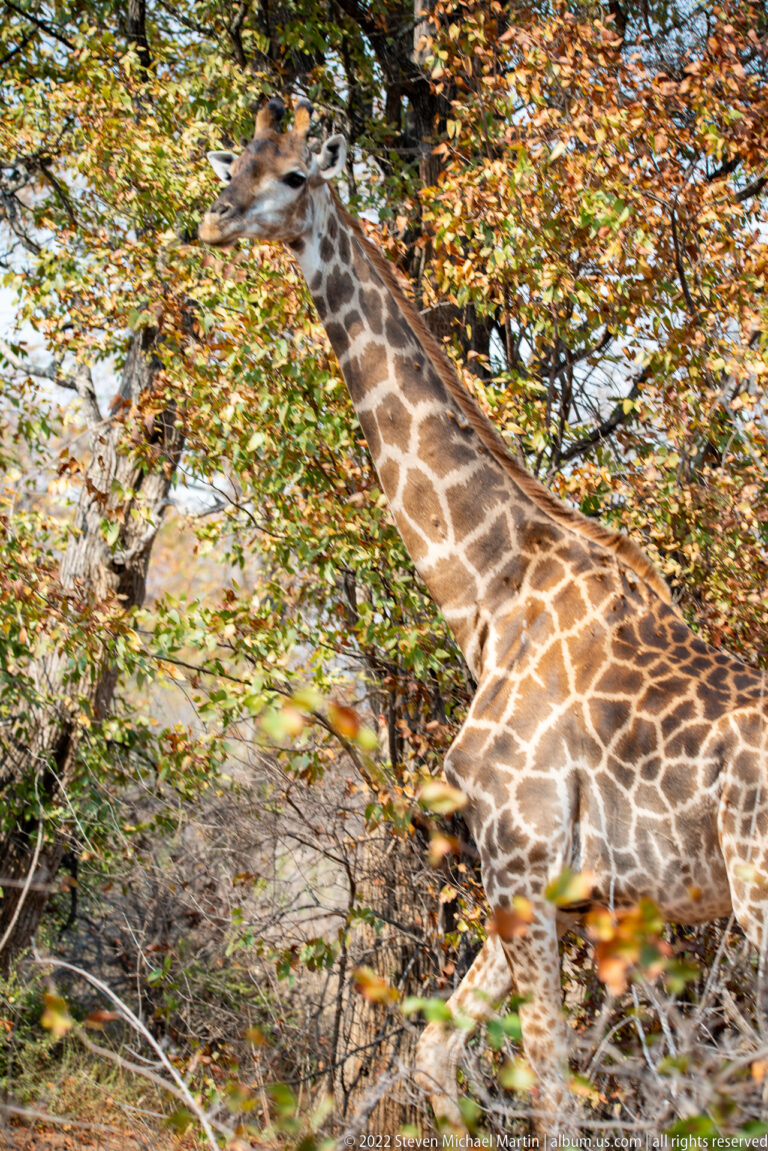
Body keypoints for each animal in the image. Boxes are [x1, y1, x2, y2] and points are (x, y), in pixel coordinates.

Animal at [200, 98, 768, 1133]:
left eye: (296, 175)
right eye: (237, 162)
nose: (214, 221)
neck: (489, 593)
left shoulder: (522, 857)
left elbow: (551, 1089)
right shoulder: (558, 892)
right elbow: (435, 1052)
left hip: (756, 895)